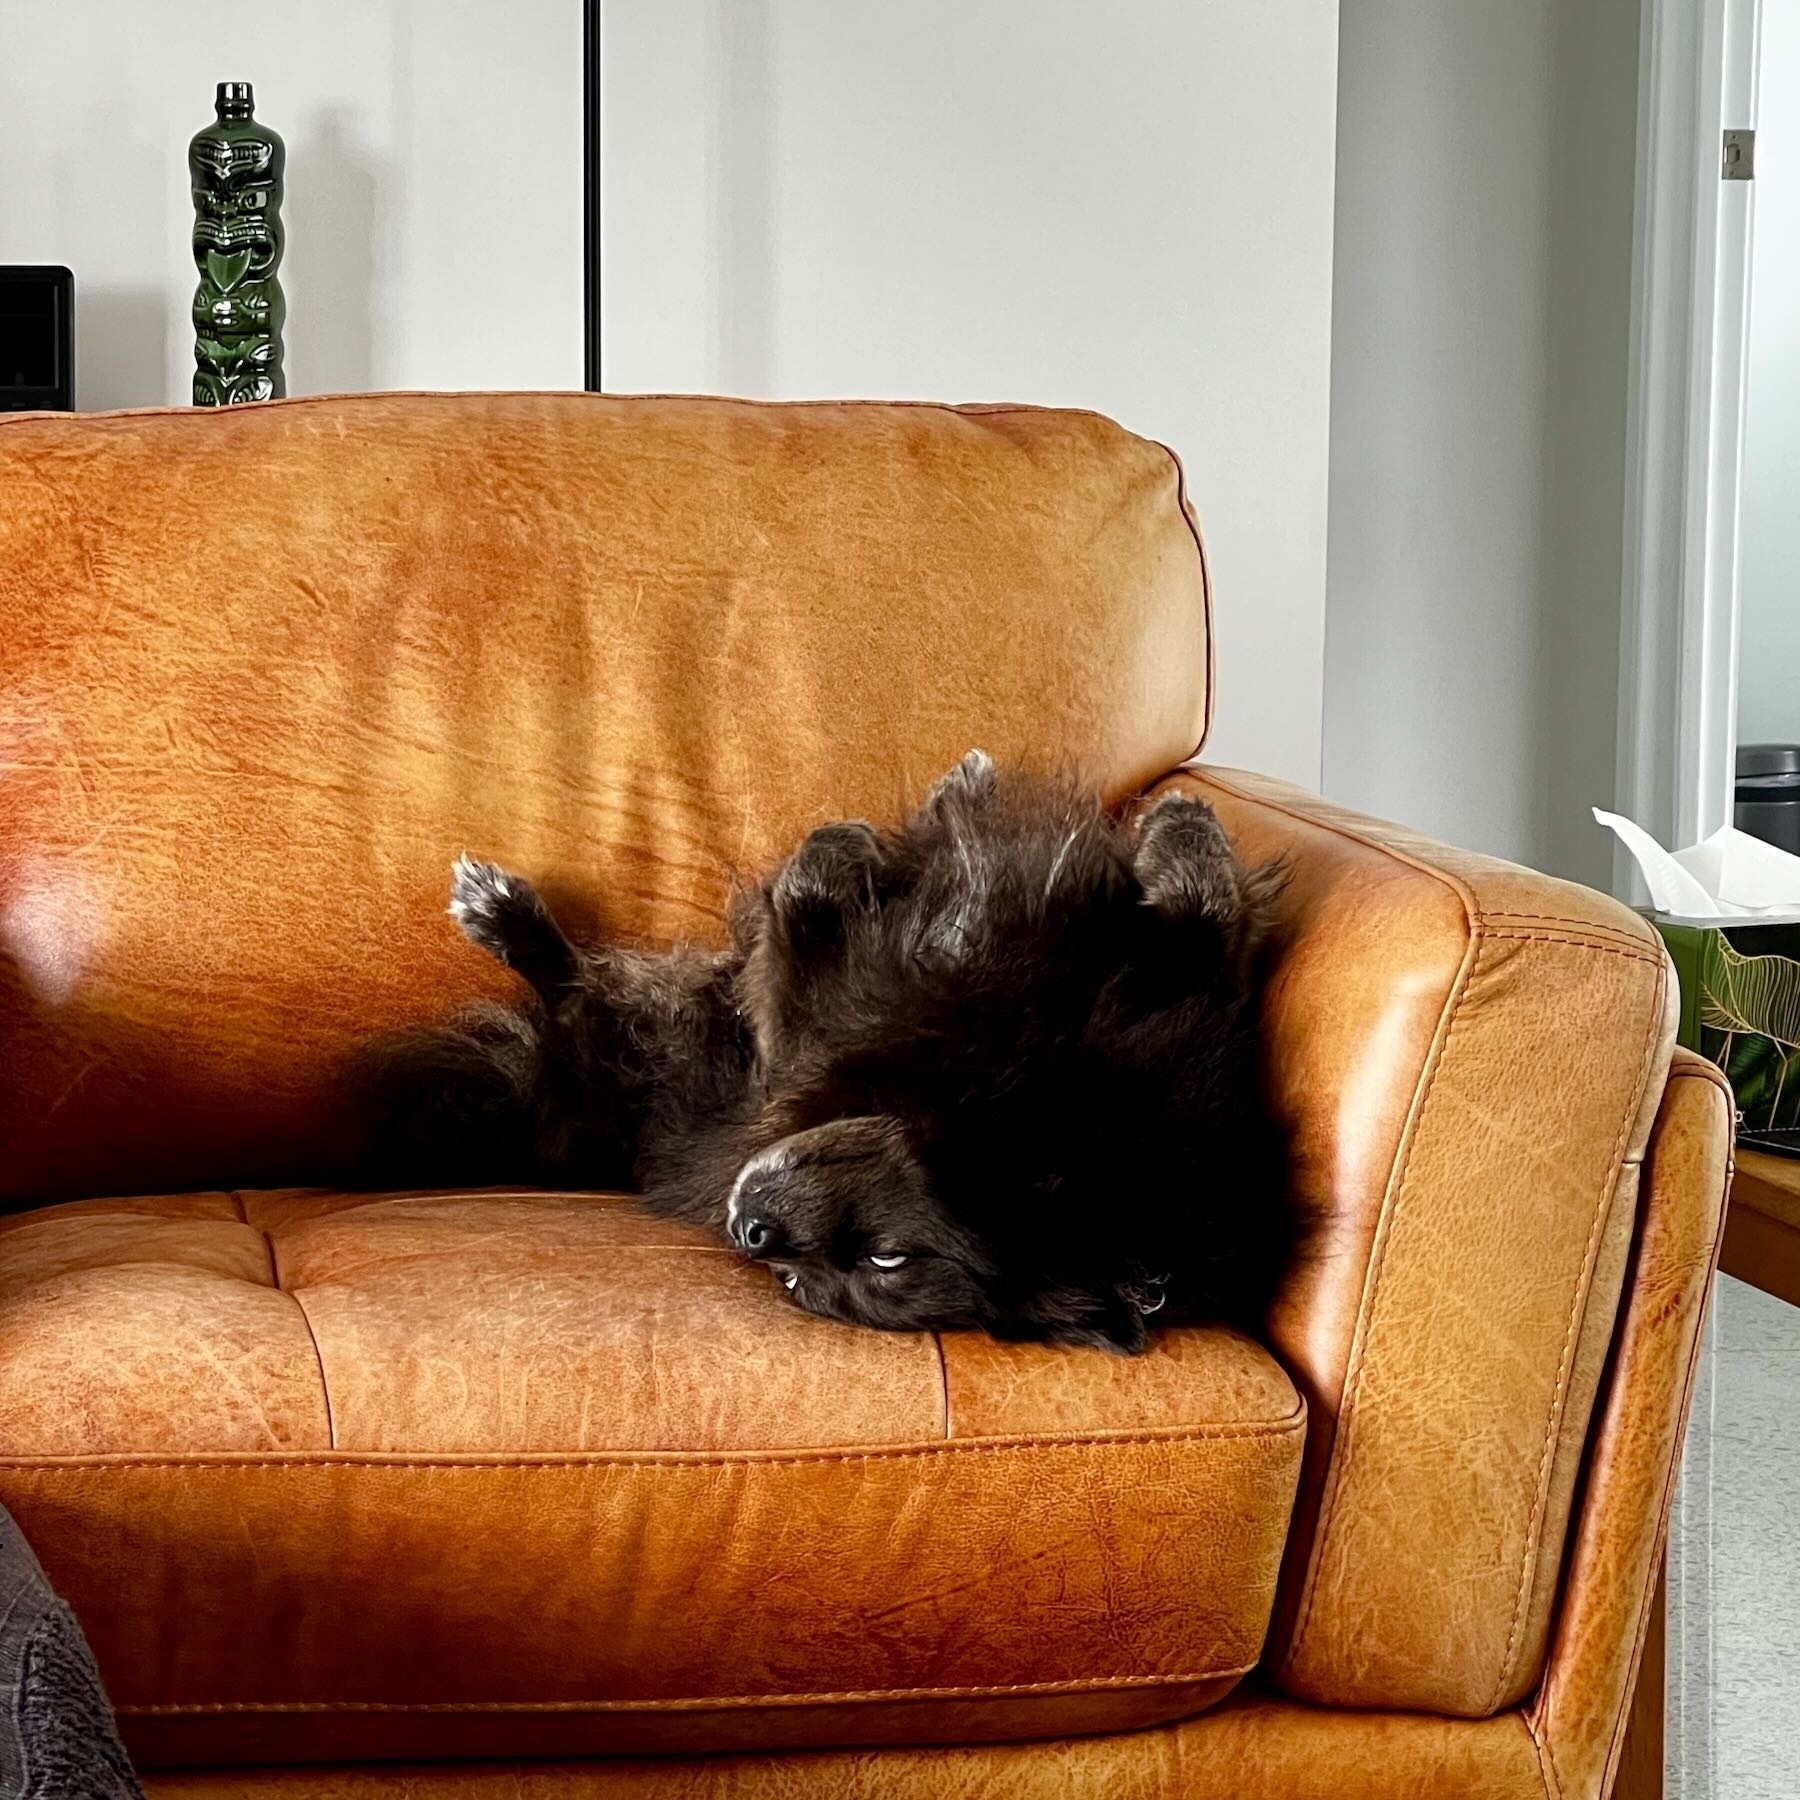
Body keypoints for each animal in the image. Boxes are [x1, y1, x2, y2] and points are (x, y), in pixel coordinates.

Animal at [361, 748, 1296, 1353]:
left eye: (879, 1262)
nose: (748, 1234)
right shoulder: (1157, 1017)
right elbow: (1202, 909)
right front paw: (1169, 816)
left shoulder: (801, 1041)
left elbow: (808, 902)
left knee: (584, 1004)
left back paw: (503, 917)